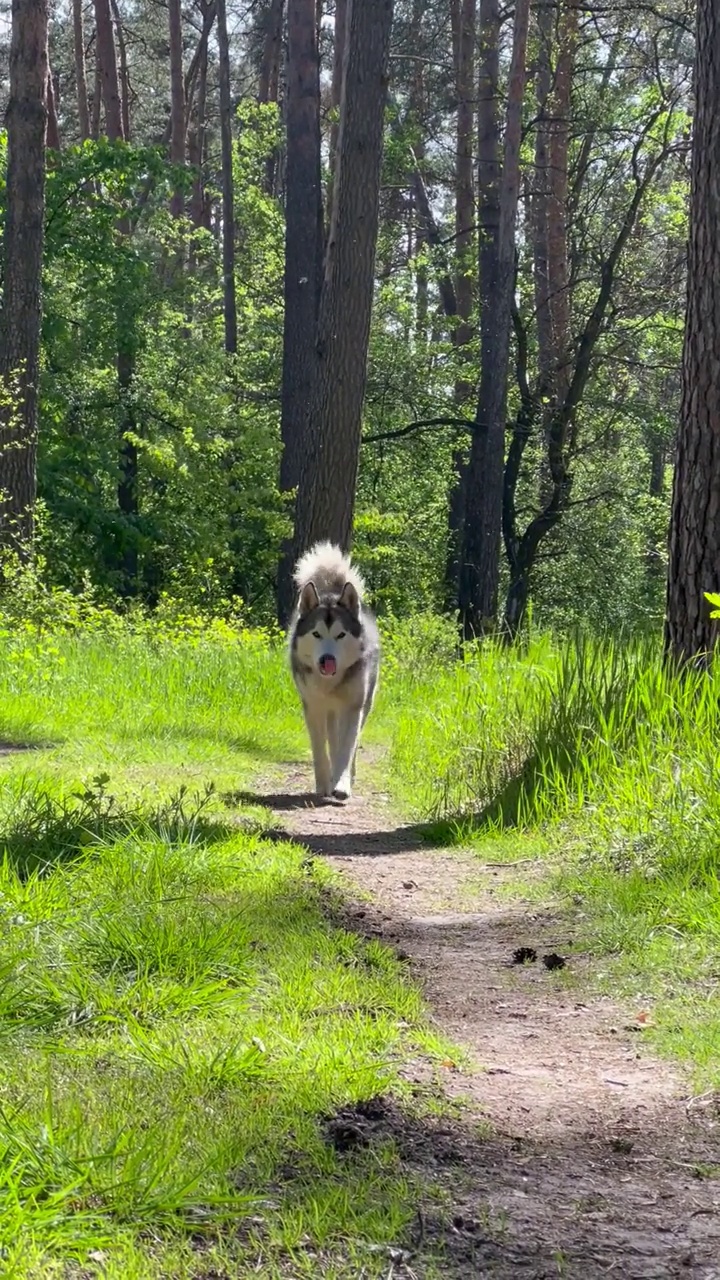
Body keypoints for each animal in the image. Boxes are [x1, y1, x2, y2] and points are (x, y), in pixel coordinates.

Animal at [285, 540, 379, 798]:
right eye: (317, 634)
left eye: (341, 635)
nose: (326, 658)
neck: (330, 683)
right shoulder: (314, 707)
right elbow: (320, 749)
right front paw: (323, 784)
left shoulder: (353, 707)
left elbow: (347, 749)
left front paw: (341, 784)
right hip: (329, 712)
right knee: (331, 737)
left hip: (363, 703)